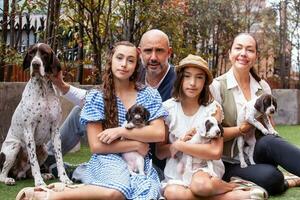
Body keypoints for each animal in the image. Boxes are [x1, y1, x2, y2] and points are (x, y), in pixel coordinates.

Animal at [0, 43, 72, 186]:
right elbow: (34, 162)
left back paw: (45, 175)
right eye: (31, 53)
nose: (35, 64)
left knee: (27, 173)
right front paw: (39, 182)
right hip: (14, 147)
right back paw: (8, 179)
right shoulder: (29, 131)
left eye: (44, 54)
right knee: (2, 174)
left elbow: (59, 159)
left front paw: (64, 178)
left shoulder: (55, 130)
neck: (42, 88)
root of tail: (18, 173)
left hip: (43, 149)